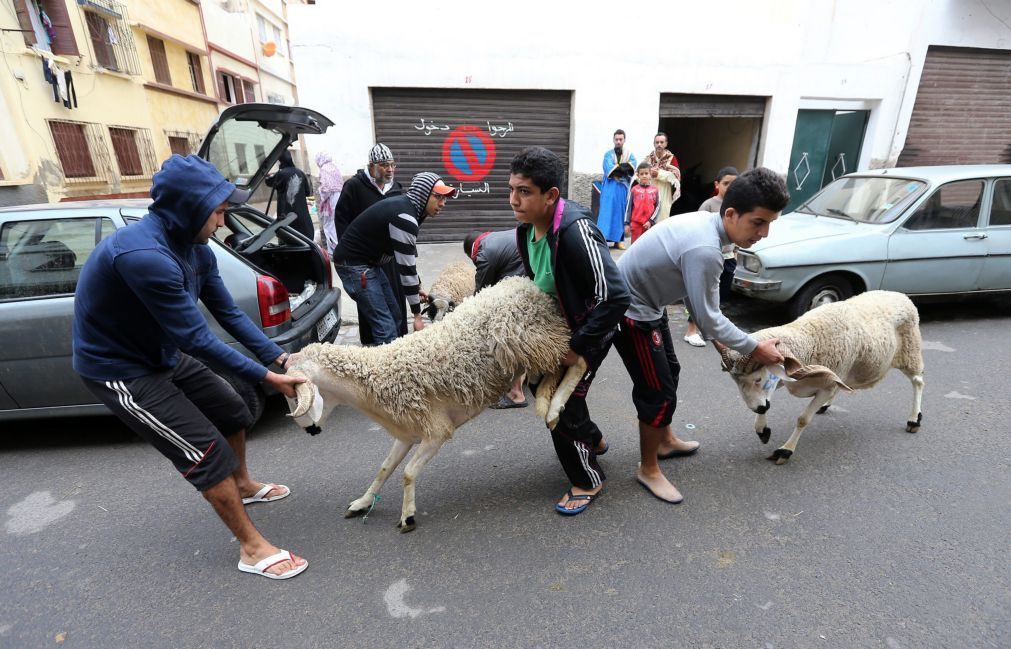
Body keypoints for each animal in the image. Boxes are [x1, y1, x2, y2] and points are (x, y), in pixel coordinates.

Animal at [715, 291, 922, 462]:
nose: (756, 408)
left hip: (910, 353)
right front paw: (762, 430)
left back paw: (914, 420)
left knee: (918, 382)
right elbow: (768, 403)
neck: (810, 338)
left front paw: (785, 450)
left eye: (758, 378)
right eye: (736, 382)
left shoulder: (826, 386)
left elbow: (803, 419)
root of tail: (900, 295)